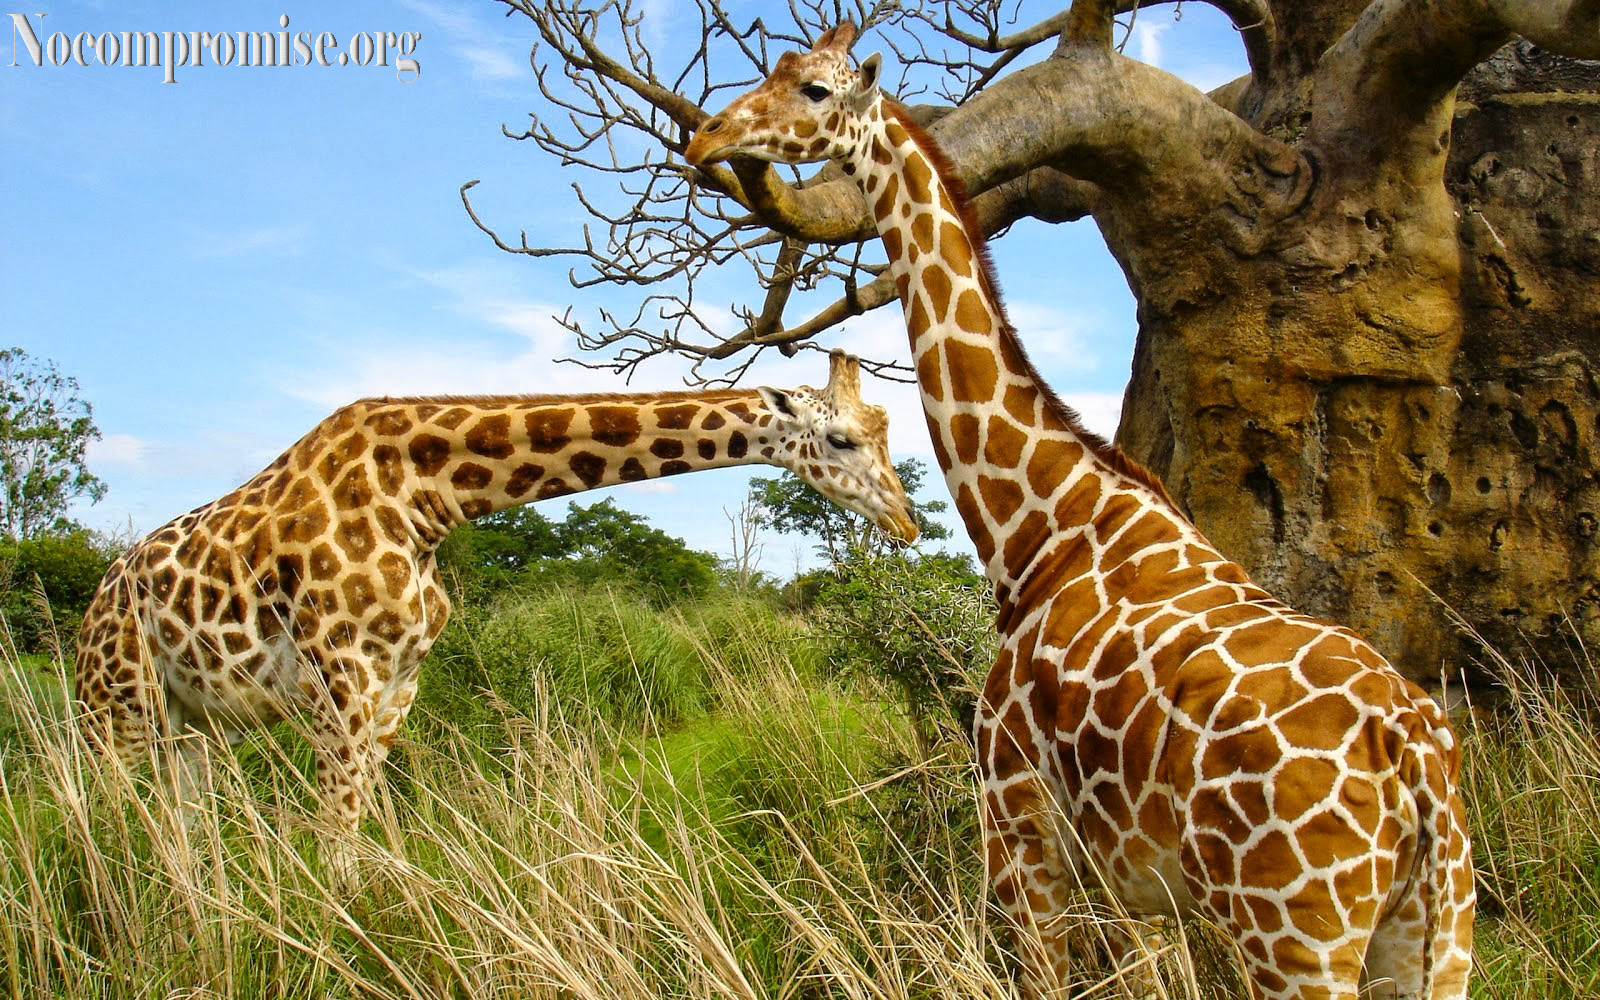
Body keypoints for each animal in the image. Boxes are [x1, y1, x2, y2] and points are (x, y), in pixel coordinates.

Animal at [75, 353, 921, 864]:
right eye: (843, 440)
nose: (907, 522)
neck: (425, 498)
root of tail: (95, 602)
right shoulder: (342, 676)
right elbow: (336, 838)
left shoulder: (398, 684)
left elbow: (363, 830)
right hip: (114, 710)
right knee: (109, 821)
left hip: (194, 722)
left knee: (182, 829)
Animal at [688, 23, 1472, 998]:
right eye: (777, 70)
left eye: (816, 90)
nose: (708, 136)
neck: (1042, 525)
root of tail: (1418, 763)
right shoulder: (1134, 879)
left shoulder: (1017, 819)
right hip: (1434, 930)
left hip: (1297, 934)